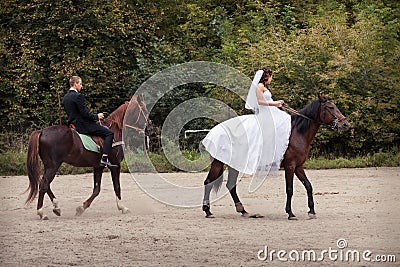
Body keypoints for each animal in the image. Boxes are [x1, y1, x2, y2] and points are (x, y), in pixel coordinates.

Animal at [203, 93, 350, 221]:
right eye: (330, 107)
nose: (345, 124)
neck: (297, 133)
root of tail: (214, 131)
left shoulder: (298, 166)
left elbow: (308, 186)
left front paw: (311, 211)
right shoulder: (290, 166)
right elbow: (290, 189)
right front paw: (290, 213)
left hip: (235, 164)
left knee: (230, 186)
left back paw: (243, 211)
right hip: (218, 163)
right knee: (208, 182)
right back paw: (208, 211)